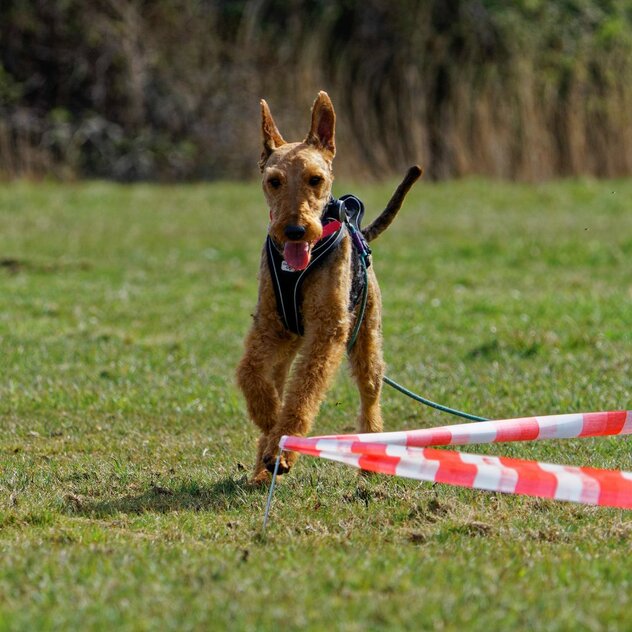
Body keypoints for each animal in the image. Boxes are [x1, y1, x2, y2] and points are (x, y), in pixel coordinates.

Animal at [237, 90, 420, 484]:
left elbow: (304, 393)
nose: (294, 230)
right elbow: (250, 373)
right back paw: (263, 465)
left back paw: (368, 461)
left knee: (370, 396)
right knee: (278, 380)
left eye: (315, 179)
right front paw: (268, 418)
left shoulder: (328, 329)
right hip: (288, 344)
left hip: (366, 339)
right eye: (274, 181)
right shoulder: (268, 324)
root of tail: (361, 232)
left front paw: (282, 438)